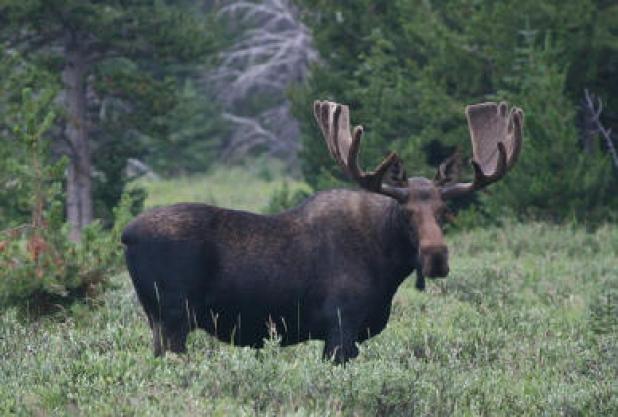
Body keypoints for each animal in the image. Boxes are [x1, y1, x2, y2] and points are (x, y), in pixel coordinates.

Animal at [122, 99, 524, 362]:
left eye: (445, 211)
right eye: (406, 212)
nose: (436, 257)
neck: (386, 268)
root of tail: (126, 235)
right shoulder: (340, 327)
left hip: (157, 319)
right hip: (174, 317)